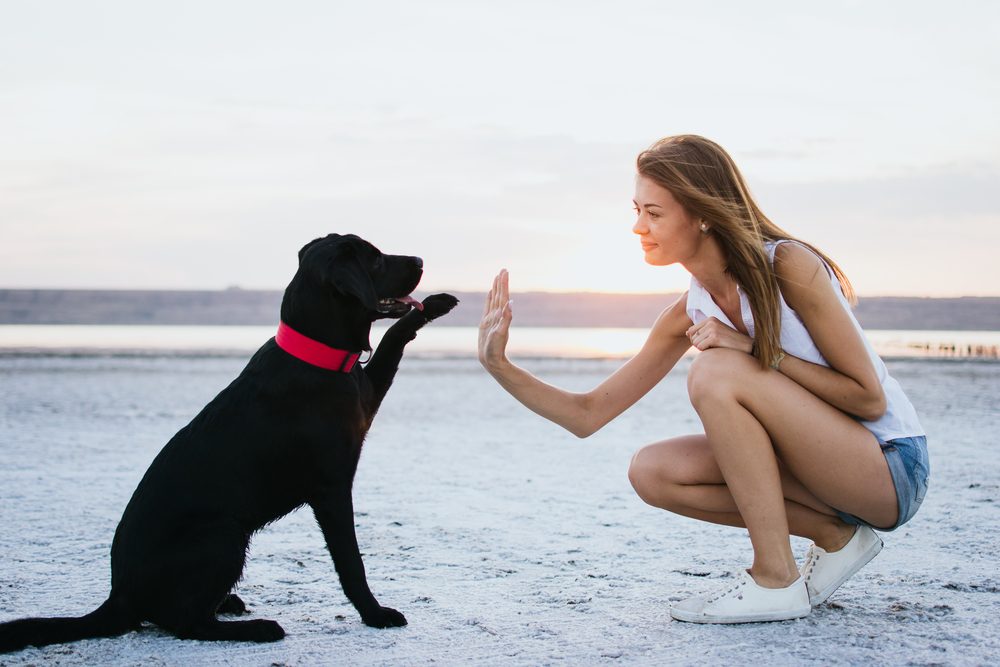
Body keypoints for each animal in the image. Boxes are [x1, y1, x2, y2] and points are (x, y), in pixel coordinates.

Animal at [0, 234, 458, 652]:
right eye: (376, 259)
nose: (420, 259)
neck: (316, 354)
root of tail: (120, 596)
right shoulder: (331, 488)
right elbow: (351, 562)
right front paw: (375, 614)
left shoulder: (368, 391)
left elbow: (394, 336)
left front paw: (436, 303)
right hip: (223, 535)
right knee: (185, 624)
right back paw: (257, 629)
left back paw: (230, 604)